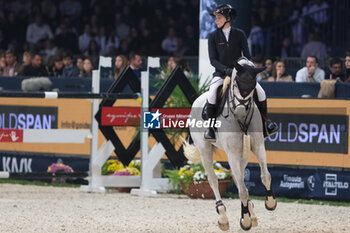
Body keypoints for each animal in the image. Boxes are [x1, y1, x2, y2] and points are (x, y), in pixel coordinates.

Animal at [183, 58, 276, 231]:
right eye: (236, 85)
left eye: (253, 86)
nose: (239, 112)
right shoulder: (232, 153)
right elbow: (243, 190)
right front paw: (245, 220)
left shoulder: (258, 146)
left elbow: (265, 176)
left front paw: (270, 203)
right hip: (206, 151)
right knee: (213, 180)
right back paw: (223, 217)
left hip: (242, 154)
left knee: (237, 178)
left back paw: (252, 213)